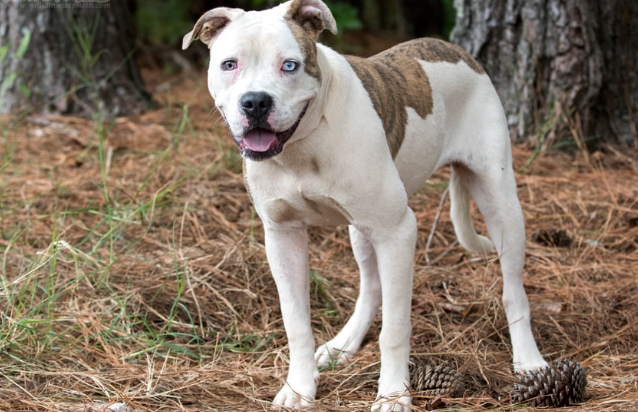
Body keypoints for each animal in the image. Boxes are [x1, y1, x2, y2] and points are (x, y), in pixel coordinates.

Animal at [184, 0, 552, 408]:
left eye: (290, 65)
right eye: (229, 64)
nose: (256, 101)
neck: (304, 144)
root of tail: (455, 50)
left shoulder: (396, 232)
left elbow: (395, 328)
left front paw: (393, 395)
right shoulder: (282, 236)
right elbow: (296, 322)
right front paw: (299, 388)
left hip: (500, 203)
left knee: (513, 290)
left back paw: (529, 361)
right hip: (361, 230)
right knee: (372, 288)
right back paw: (343, 344)